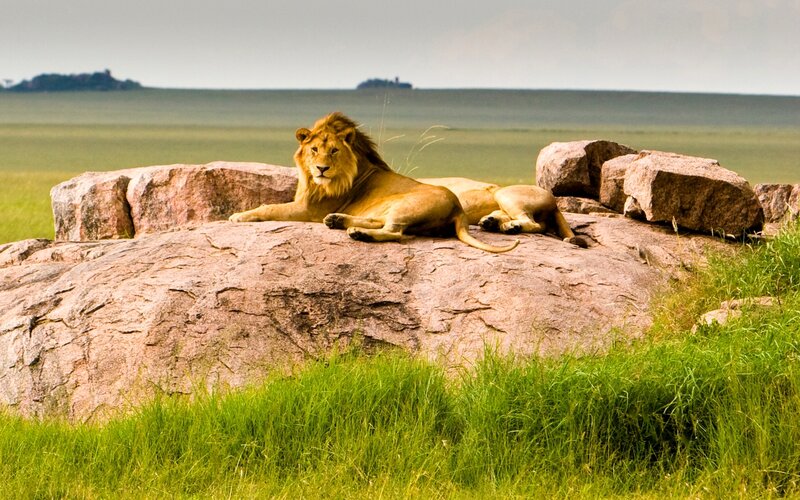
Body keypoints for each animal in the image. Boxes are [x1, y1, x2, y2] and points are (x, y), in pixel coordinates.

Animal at [229, 112, 518, 253]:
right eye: (314, 150)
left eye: (334, 151)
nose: (322, 168)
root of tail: (458, 209)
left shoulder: (308, 210)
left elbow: (269, 207)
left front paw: (238, 216)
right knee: (383, 223)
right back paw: (338, 221)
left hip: (406, 205)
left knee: (396, 232)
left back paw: (358, 233)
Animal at [418, 177, 588, 247]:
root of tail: (554, 204)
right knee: (539, 225)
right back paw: (493, 223)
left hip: (504, 194)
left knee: (532, 222)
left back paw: (509, 227)